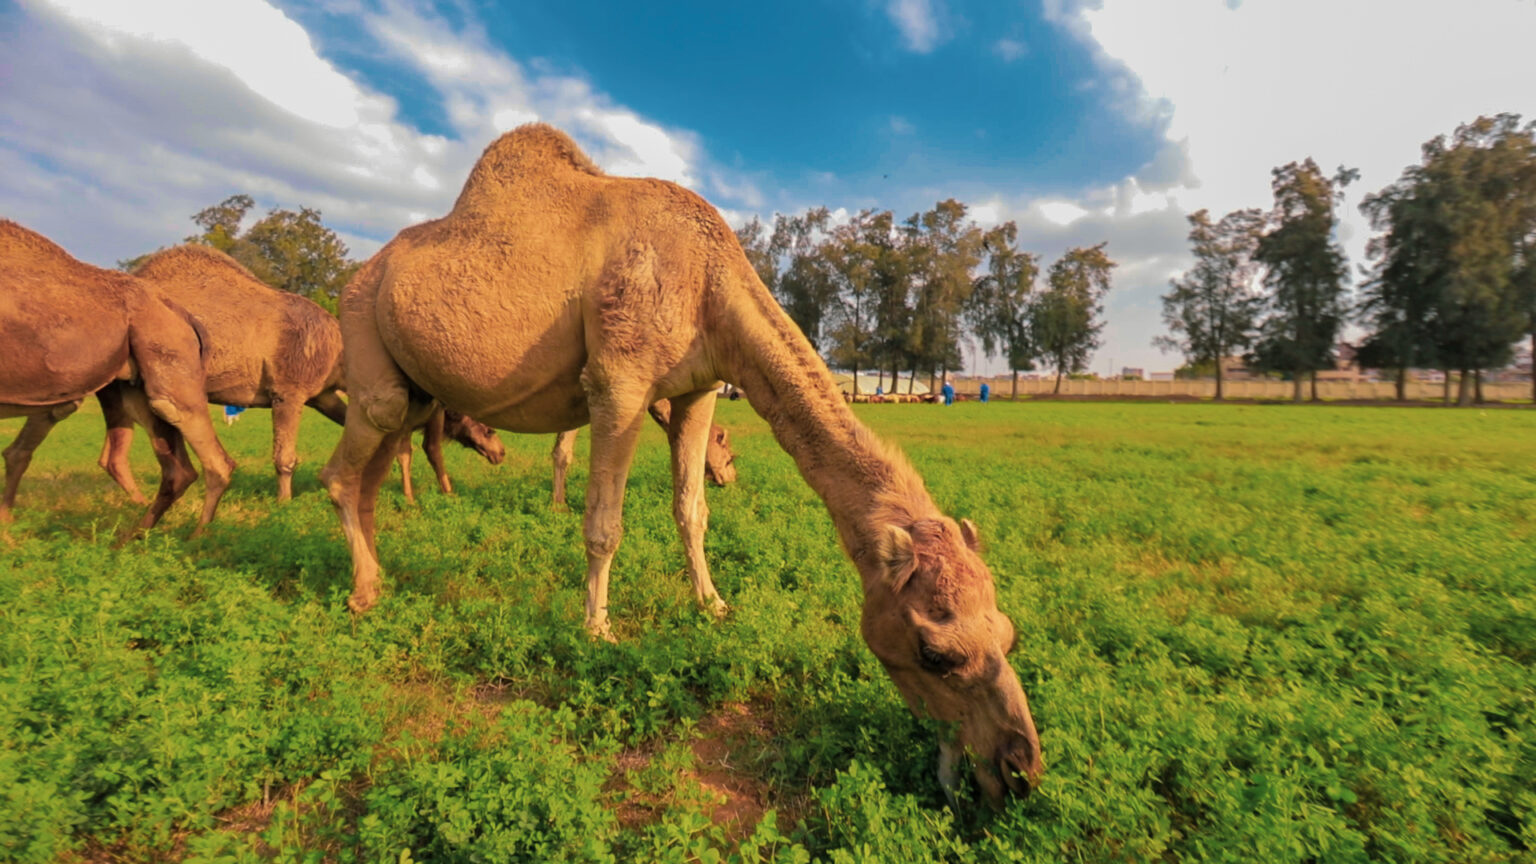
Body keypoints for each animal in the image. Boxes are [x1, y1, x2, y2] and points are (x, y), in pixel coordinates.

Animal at [0, 221, 233, 534]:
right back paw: (131, 537)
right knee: (175, 465)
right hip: (133, 379)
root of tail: (182, 313)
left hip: (165, 350)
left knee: (200, 444)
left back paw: (193, 537)